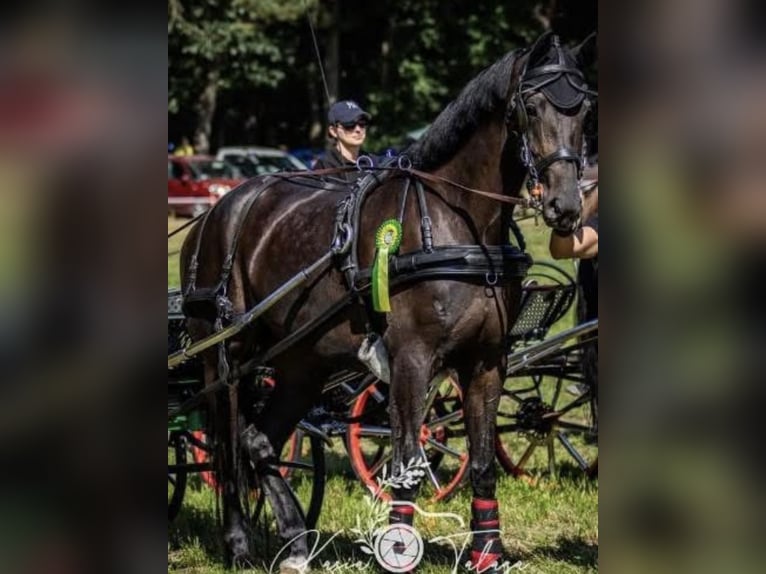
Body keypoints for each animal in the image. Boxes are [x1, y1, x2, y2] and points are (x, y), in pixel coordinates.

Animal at [179, 31, 596, 572]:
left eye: (584, 108)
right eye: (531, 104)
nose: (565, 207)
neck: (457, 222)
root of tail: (216, 212)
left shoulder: (486, 362)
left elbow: (483, 462)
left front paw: (487, 553)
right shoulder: (411, 360)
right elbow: (408, 464)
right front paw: (399, 547)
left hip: (301, 361)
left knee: (258, 440)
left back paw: (295, 543)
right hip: (224, 357)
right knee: (227, 445)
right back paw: (239, 544)